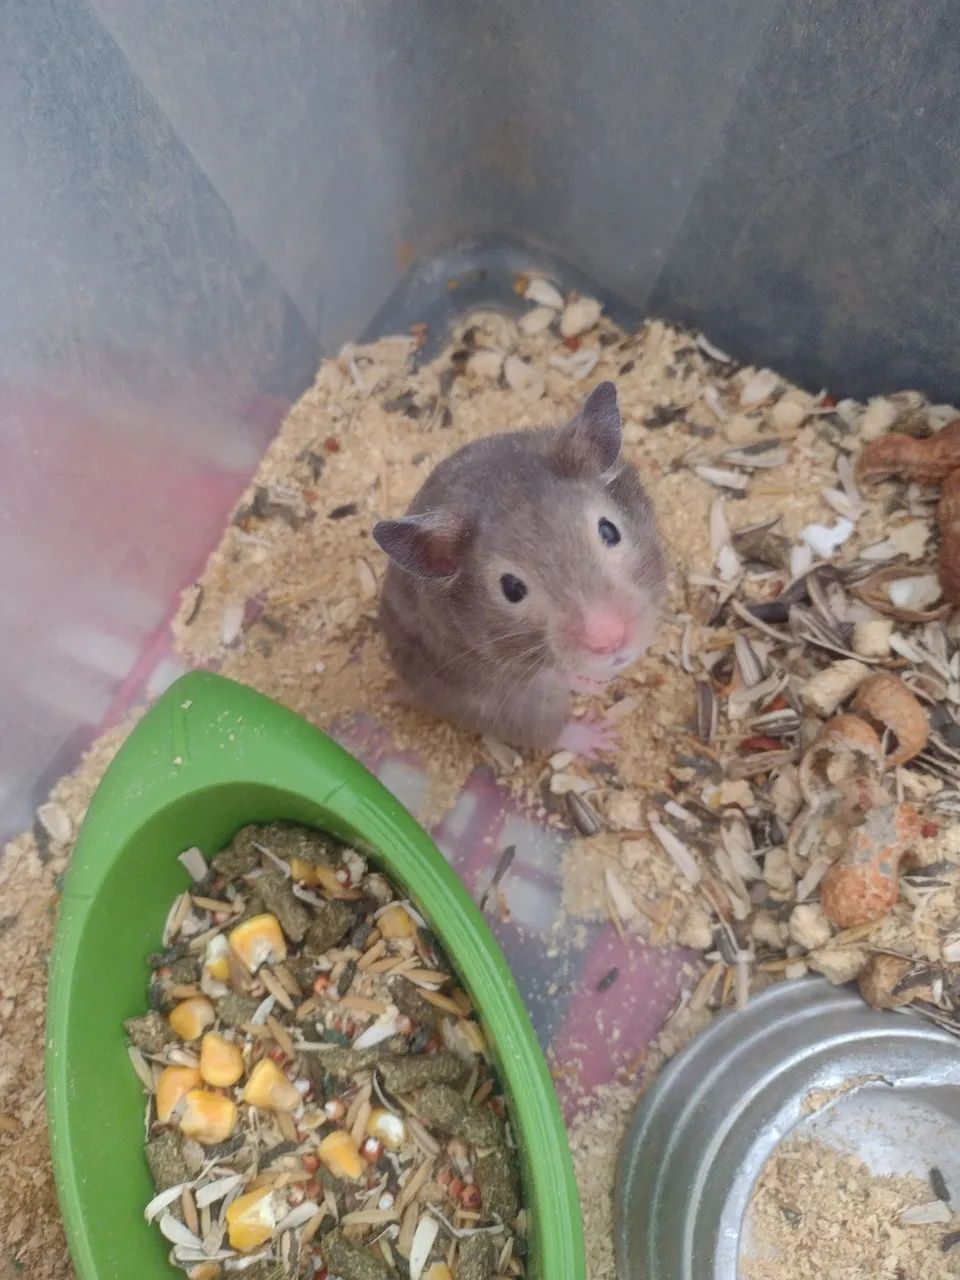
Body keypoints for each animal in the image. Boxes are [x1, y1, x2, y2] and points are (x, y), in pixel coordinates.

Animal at [372, 381, 667, 756]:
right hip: (516, 704)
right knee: (548, 731)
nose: (611, 642)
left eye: (609, 531)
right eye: (511, 588)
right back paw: (600, 736)